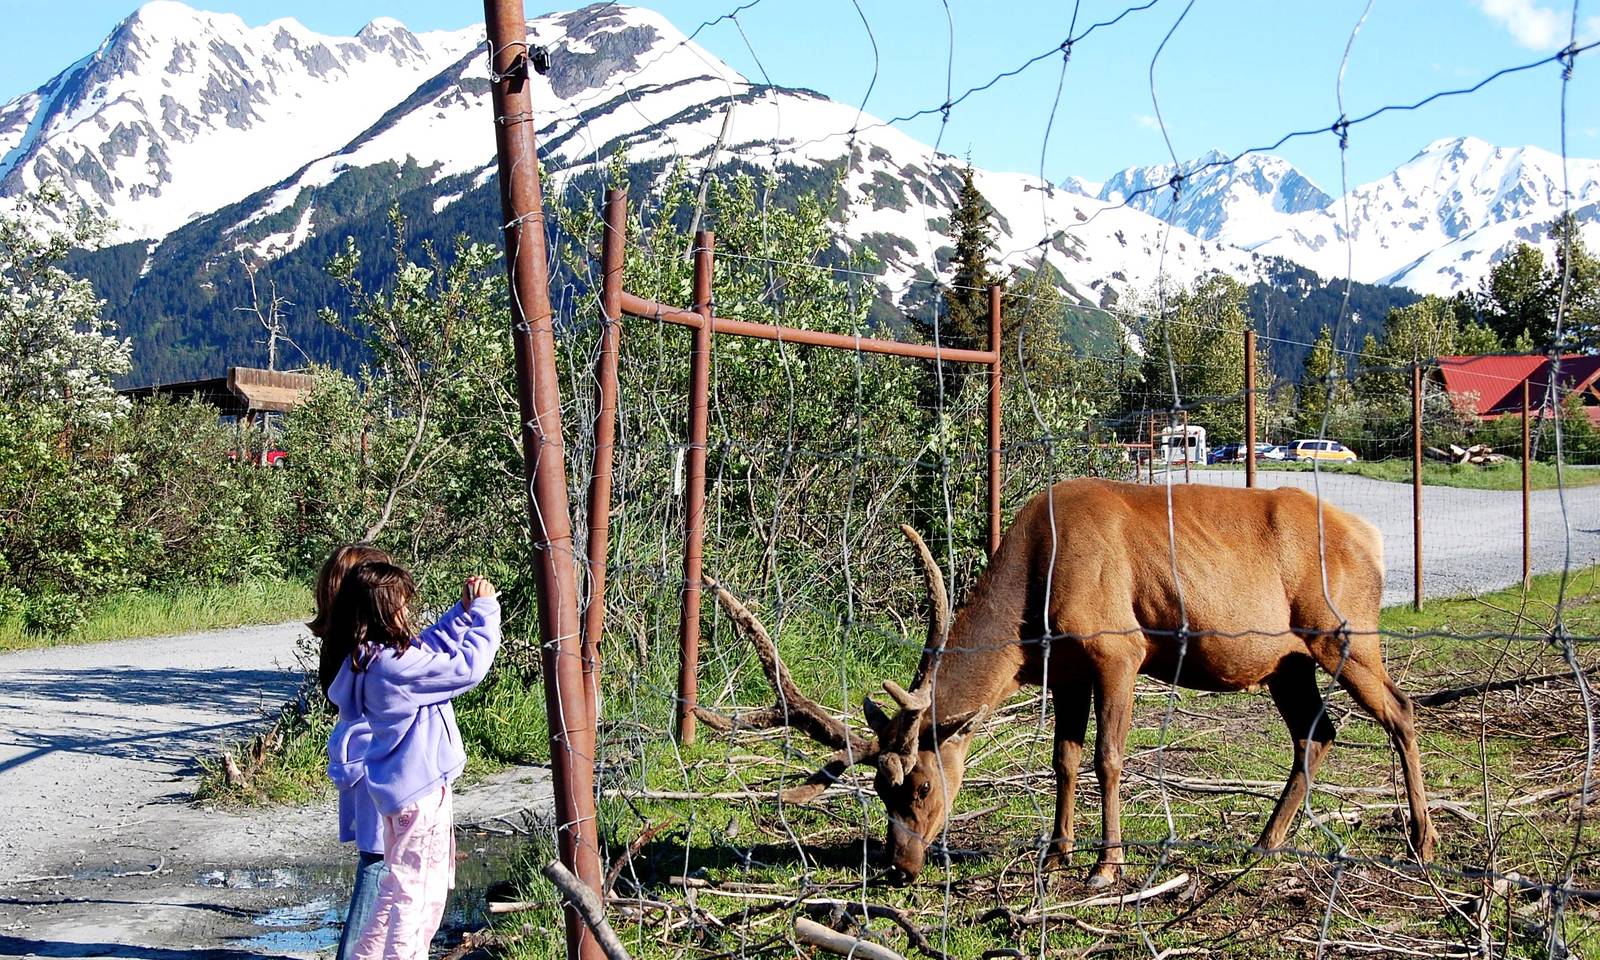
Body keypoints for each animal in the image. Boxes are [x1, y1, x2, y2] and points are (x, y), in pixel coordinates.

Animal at [698, 477, 1437, 888]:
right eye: (879, 790)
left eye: (923, 785)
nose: (900, 866)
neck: (1033, 611)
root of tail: (1371, 537)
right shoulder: (1069, 671)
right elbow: (1065, 759)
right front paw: (1056, 855)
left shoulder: (1118, 648)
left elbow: (1109, 758)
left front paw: (1106, 866)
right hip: (1286, 660)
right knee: (1318, 730)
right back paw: (1264, 841)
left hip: (1344, 631)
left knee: (1402, 710)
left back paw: (1421, 842)